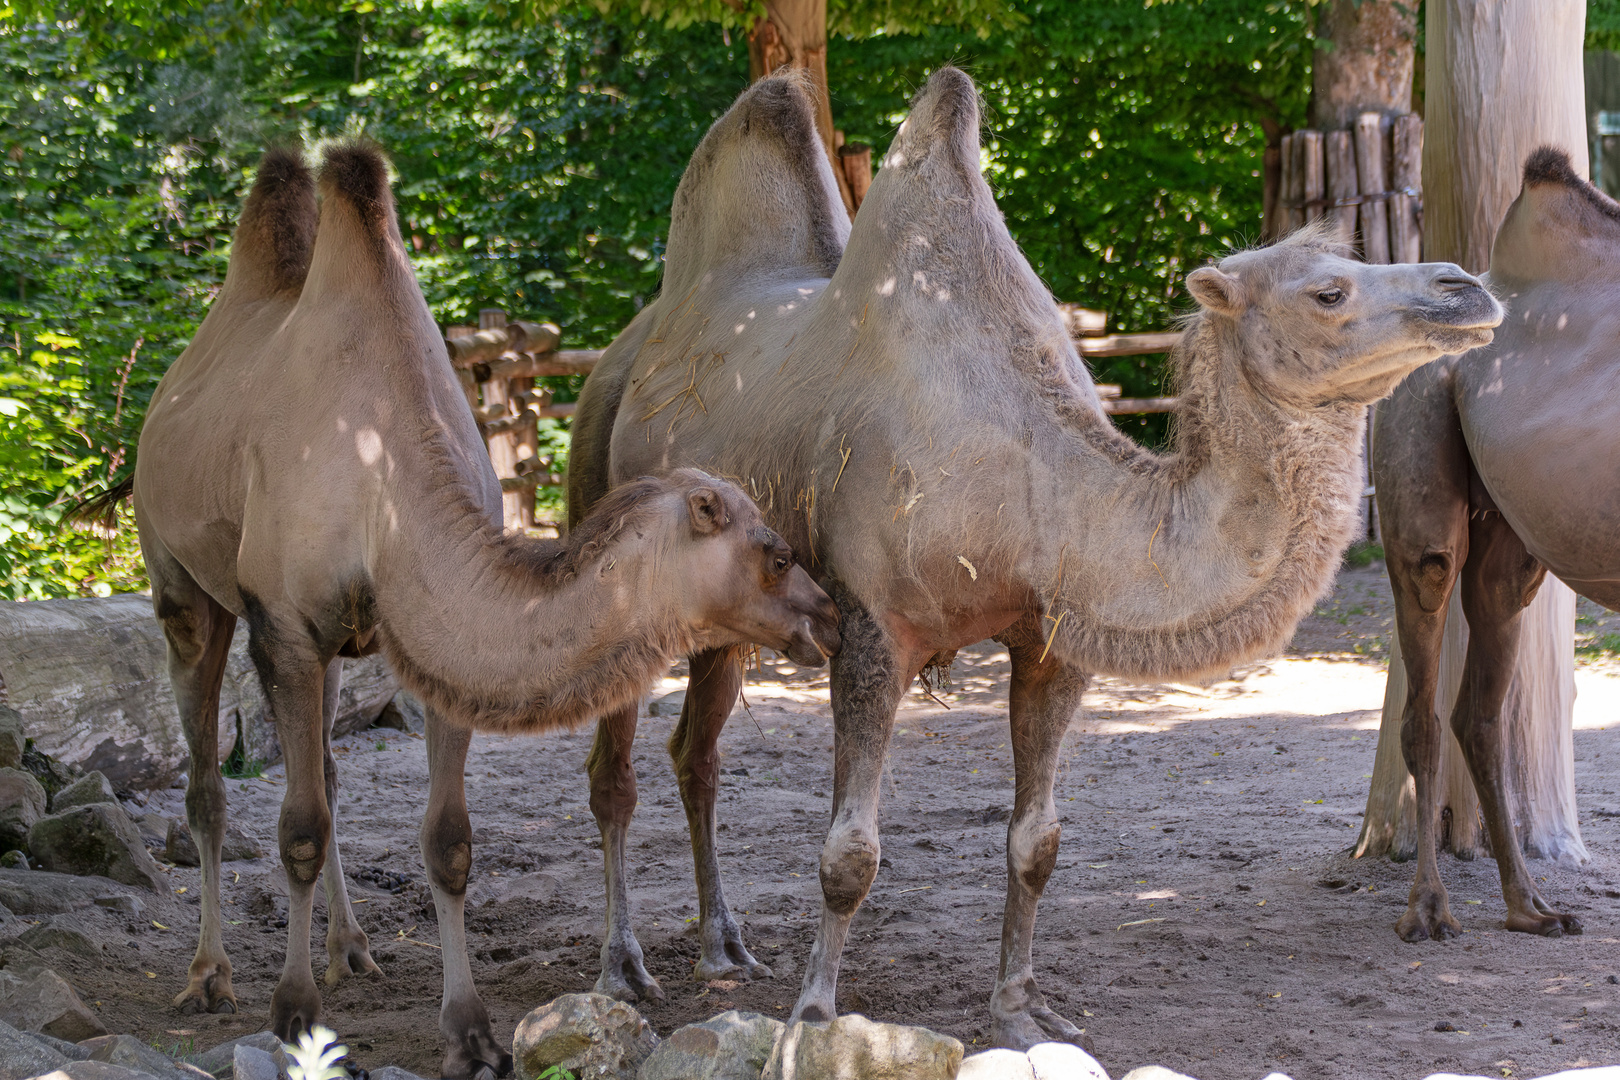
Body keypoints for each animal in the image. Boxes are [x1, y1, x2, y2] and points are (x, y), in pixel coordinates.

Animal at [102, 141, 842, 1075]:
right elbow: (297, 827)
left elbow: (447, 841)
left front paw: (472, 1032)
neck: (384, 483)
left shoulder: (431, 649)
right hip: (183, 587)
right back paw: (210, 975)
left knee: (330, 773)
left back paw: (354, 949)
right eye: (776, 553)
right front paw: (294, 1014)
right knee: (208, 779)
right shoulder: (287, 629)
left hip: (336, 648)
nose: (829, 615)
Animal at [570, 65, 1503, 1049]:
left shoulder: (1053, 642)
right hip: (604, 512)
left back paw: (724, 949)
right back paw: (622, 967)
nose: (1466, 288)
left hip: (726, 612)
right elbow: (849, 852)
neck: (1033, 485)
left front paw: (1018, 1009)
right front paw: (816, 1014)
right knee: (614, 773)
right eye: (1328, 292)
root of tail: (629, 350)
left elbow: (1037, 841)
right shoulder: (869, 627)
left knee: (696, 754)